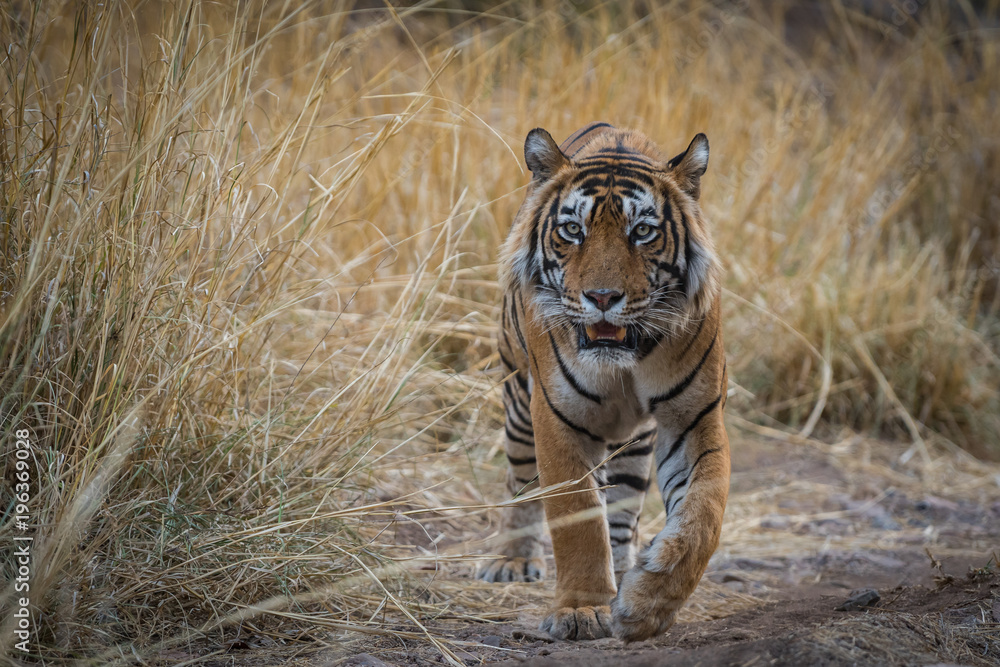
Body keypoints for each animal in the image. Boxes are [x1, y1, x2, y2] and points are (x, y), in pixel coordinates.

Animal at [478, 122, 730, 643]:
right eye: (573, 230)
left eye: (643, 232)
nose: (602, 297)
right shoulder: (558, 419)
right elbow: (576, 518)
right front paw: (580, 610)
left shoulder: (694, 419)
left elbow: (703, 513)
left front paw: (647, 601)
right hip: (517, 407)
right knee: (521, 483)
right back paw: (513, 559)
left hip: (636, 443)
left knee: (622, 512)